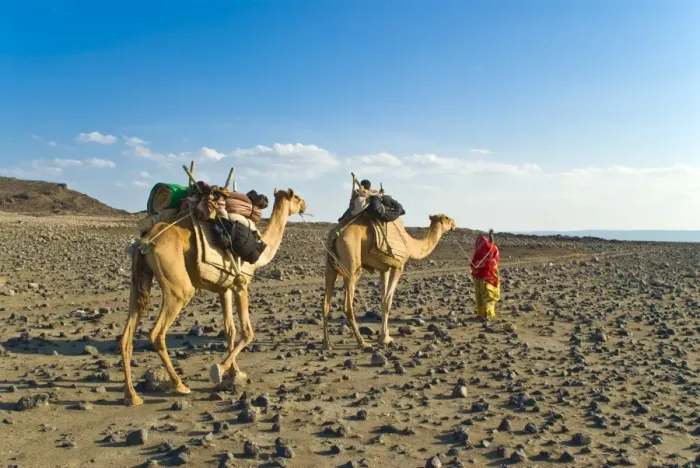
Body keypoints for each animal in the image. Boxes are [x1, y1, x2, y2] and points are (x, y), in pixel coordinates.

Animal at [120, 188, 306, 406]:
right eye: (296, 197)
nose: (304, 205)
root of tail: (146, 241)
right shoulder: (241, 285)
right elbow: (247, 332)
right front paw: (220, 369)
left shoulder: (224, 288)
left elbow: (230, 330)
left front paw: (234, 371)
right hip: (178, 287)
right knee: (157, 333)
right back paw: (180, 385)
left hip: (139, 279)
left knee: (127, 335)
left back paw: (132, 395)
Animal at [322, 213, 456, 350]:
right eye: (447, 218)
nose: (454, 224)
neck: (410, 244)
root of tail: (336, 234)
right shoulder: (398, 267)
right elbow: (388, 301)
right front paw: (385, 339)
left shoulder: (384, 269)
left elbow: (383, 300)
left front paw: (385, 335)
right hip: (351, 264)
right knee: (347, 304)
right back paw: (362, 342)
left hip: (330, 266)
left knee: (325, 303)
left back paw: (327, 343)